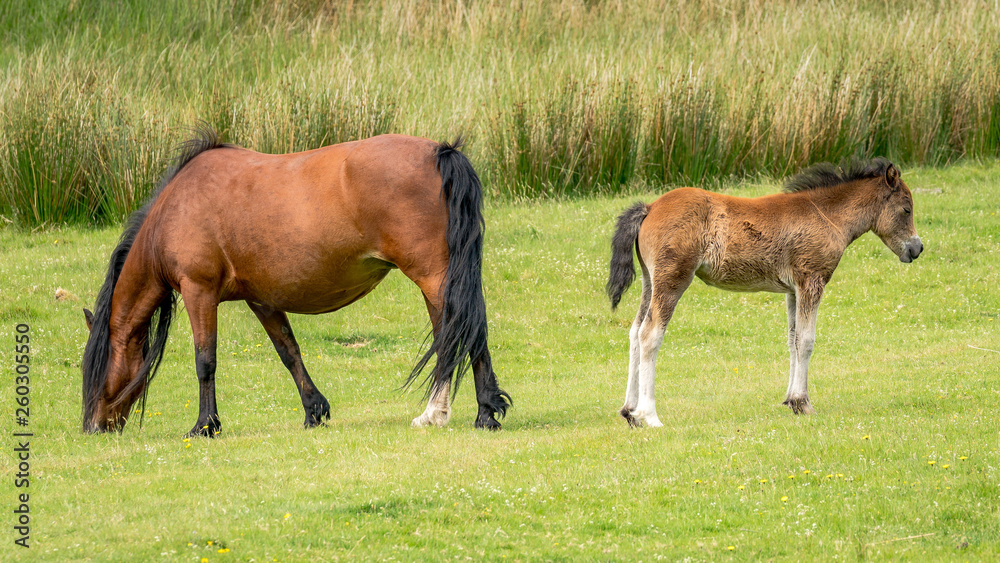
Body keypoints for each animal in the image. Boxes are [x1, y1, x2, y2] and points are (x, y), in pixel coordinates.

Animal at [82, 126, 512, 436]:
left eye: (95, 369)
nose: (92, 427)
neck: (174, 209)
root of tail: (440, 152)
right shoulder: (262, 300)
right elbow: (289, 352)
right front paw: (314, 411)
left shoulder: (198, 291)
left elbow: (205, 360)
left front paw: (205, 425)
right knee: (456, 333)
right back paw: (457, 413)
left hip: (433, 278)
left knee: (464, 333)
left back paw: (469, 414)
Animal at [600, 159, 920, 428]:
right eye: (906, 209)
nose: (917, 249)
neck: (827, 216)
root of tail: (650, 207)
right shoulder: (811, 281)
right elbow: (807, 341)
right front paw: (804, 404)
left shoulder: (793, 289)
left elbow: (793, 340)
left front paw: (791, 400)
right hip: (672, 279)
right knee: (650, 334)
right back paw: (649, 416)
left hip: (649, 281)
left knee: (635, 331)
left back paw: (629, 412)